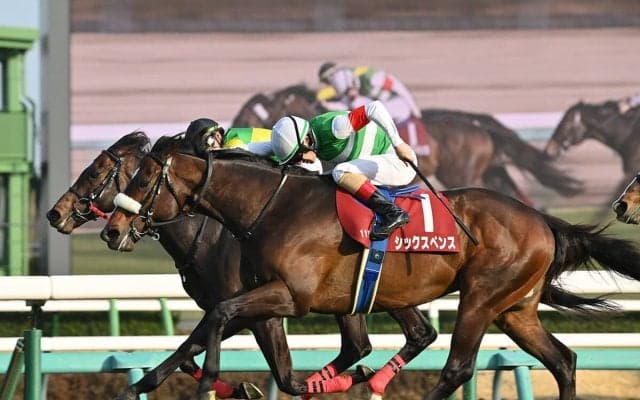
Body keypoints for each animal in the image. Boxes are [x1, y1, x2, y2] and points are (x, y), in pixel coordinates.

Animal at [47, 131, 412, 400]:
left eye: (94, 171)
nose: (54, 213)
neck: (207, 230)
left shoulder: (258, 309)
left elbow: (273, 371)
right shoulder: (228, 307)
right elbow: (189, 351)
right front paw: (237, 388)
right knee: (379, 341)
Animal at [101, 139, 640, 400]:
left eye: (143, 180)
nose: (112, 230)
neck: (271, 207)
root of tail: (543, 220)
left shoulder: (290, 296)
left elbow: (218, 319)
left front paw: (209, 378)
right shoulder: (277, 300)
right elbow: (212, 333)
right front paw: (143, 383)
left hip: (481, 297)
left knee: (458, 367)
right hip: (515, 310)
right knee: (563, 360)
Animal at [231, 84, 583, 206]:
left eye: (250, 111)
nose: (234, 123)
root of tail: (479, 125)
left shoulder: (335, 126)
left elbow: (371, 108)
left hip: (457, 172)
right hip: (493, 170)